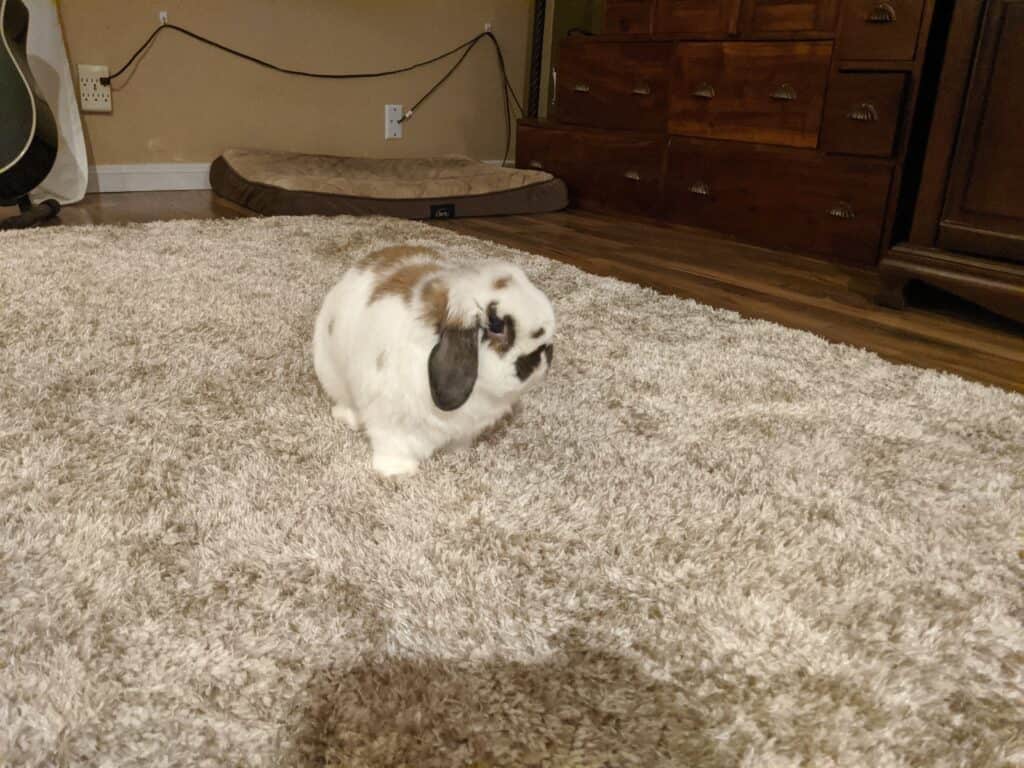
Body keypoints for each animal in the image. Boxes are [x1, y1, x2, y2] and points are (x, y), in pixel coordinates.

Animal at [311, 243, 557, 479]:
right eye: (497, 325)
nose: (544, 352)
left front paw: (458, 453)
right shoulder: (391, 420)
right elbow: (392, 445)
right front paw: (397, 472)